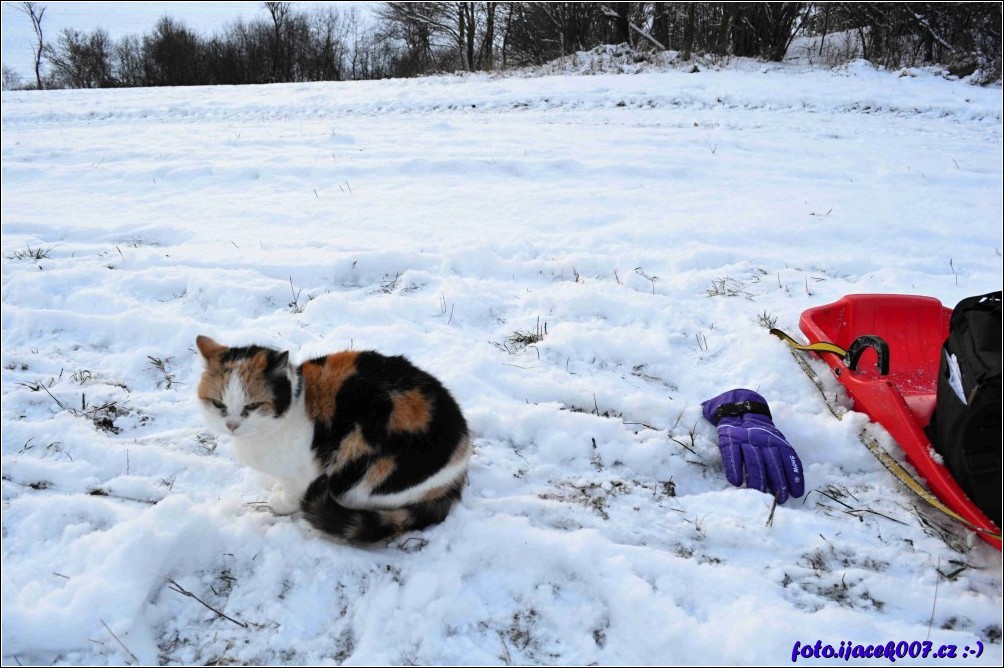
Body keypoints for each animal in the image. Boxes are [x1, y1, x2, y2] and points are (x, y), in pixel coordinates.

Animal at [194, 333, 469, 542]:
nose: (231, 425)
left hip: (363, 469)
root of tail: (459, 464)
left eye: (251, 406)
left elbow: (293, 493)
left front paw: (281, 503)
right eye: (219, 404)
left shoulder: (305, 470)